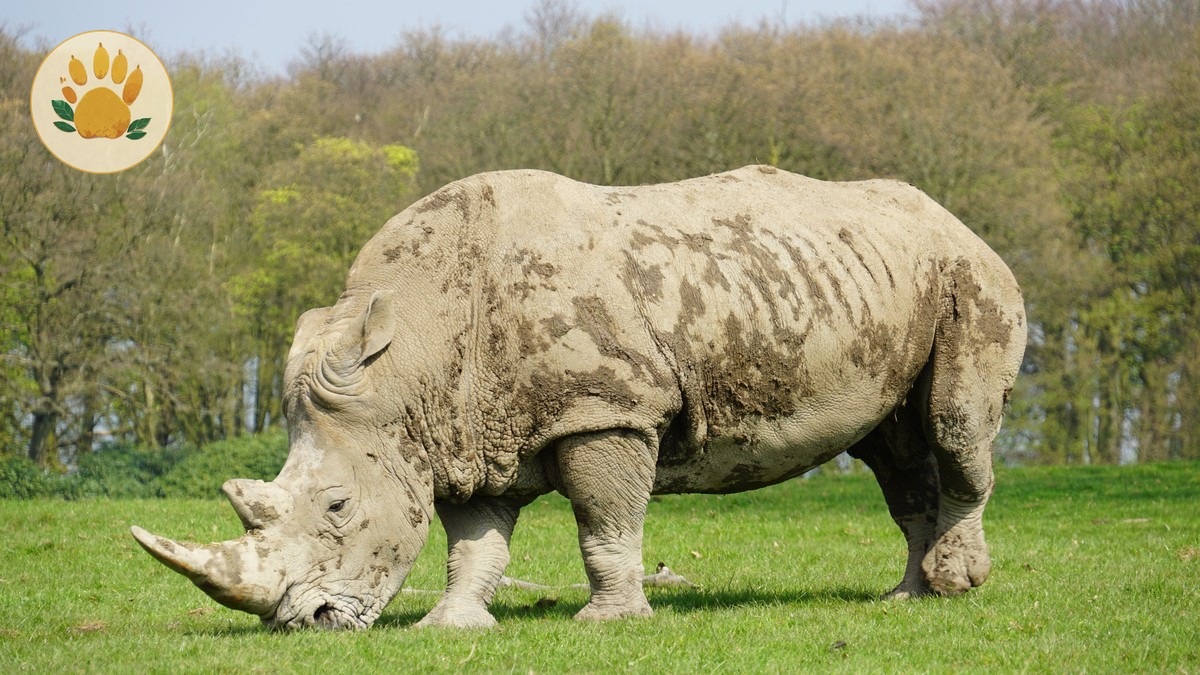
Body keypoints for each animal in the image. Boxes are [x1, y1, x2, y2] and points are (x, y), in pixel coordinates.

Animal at [132, 165, 1025, 629]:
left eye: (339, 507)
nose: (300, 623)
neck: (412, 355)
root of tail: (958, 220)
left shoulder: (605, 409)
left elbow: (604, 523)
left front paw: (610, 622)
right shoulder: (467, 429)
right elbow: (473, 542)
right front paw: (450, 626)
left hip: (969, 276)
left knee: (953, 427)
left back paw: (953, 585)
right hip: (879, 280)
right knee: (893, 449)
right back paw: (905, 599)